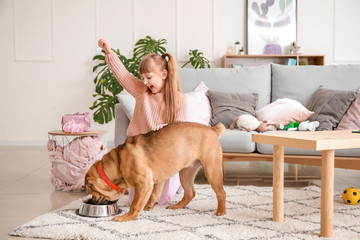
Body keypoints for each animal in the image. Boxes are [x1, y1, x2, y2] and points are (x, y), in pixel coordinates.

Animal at [84, 122, 225, 221]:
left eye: (92, 191)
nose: (91, 201)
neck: (118, 164)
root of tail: (213, 130)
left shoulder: (143, 184)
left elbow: (135, 205)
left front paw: (127, 217)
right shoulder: (156, 181)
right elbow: (154, 195)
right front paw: (148, 207)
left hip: (212, 170)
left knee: (221, 193)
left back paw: (221, 212)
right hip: (186, 173)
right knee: (190, 193)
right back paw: (177, 206)